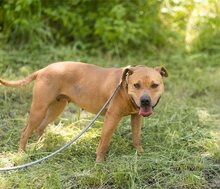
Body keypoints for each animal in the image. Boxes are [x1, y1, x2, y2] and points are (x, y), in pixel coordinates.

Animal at [0, 62, 168, 162]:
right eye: (136, 85)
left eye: (154, 85)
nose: (145, 101)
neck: (124, 87)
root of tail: (43, 69)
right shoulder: (112, 118)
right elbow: (103, 143)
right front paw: (99, 163)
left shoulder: (136, 117)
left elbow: (136, 137)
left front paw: (141, 153)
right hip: (39, 109)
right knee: (25, 131)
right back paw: (22, 154)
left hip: (55, 108)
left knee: (40, 127)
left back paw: (42, 146)